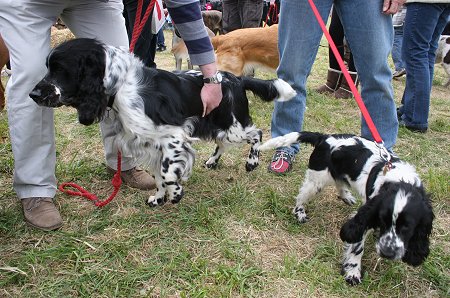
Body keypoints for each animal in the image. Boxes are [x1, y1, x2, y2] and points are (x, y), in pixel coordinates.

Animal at [29, 37, 296, 207]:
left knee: (257, 133)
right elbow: (158, 175)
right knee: (223, 143)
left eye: (59, 69)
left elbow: (167, 174)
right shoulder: (152, 145)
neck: (122, 84)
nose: (33, 94)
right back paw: (212, 161)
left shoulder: (173, 138)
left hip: (233, 126)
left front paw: (175, 194)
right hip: (219, 126)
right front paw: (158, 198)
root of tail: (236, 79)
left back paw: (252, 162)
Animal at [258, 132, 434, 286]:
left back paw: (346, 197)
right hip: (317, 181)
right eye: (383, 220)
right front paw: (353, 274)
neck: (400, 180)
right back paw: (300, 212)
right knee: (302, 196)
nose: (387, 253)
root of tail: (324, 137)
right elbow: (357, 248)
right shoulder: (364, 217)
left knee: (339, 184)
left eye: (407, 227)